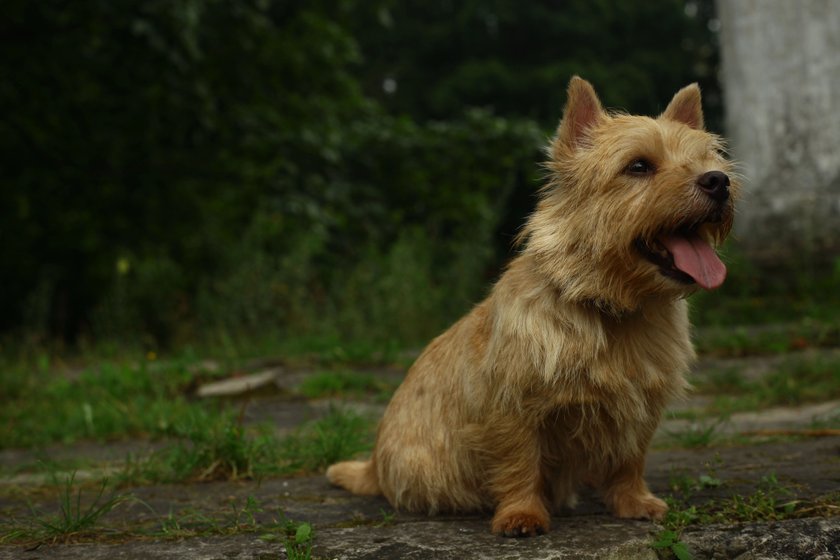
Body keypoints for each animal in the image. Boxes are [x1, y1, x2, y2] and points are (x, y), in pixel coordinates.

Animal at [324, 76, 740, 536]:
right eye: (638, 166)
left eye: (708, 158)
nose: (718, 180)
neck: (608, 306)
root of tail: (374, 464)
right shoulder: (513, 406)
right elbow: (520, 462)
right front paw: (521, 514)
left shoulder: (642, 403)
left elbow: (630, 458)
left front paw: (634, 502)